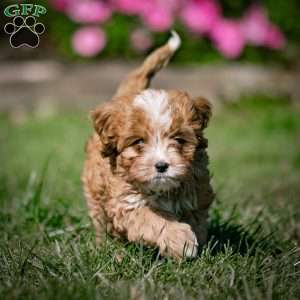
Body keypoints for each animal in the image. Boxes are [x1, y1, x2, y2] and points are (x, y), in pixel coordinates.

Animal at [82, 31, 213, 258]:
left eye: (179, 140)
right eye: (138, 142)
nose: (161, 166)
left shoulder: (198, 195)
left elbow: (197, 220)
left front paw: (196, 243)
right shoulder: (127, 203)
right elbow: (155, 220)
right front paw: (181, 240)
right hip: (95, 192)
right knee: (100, 220)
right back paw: (107, 247)